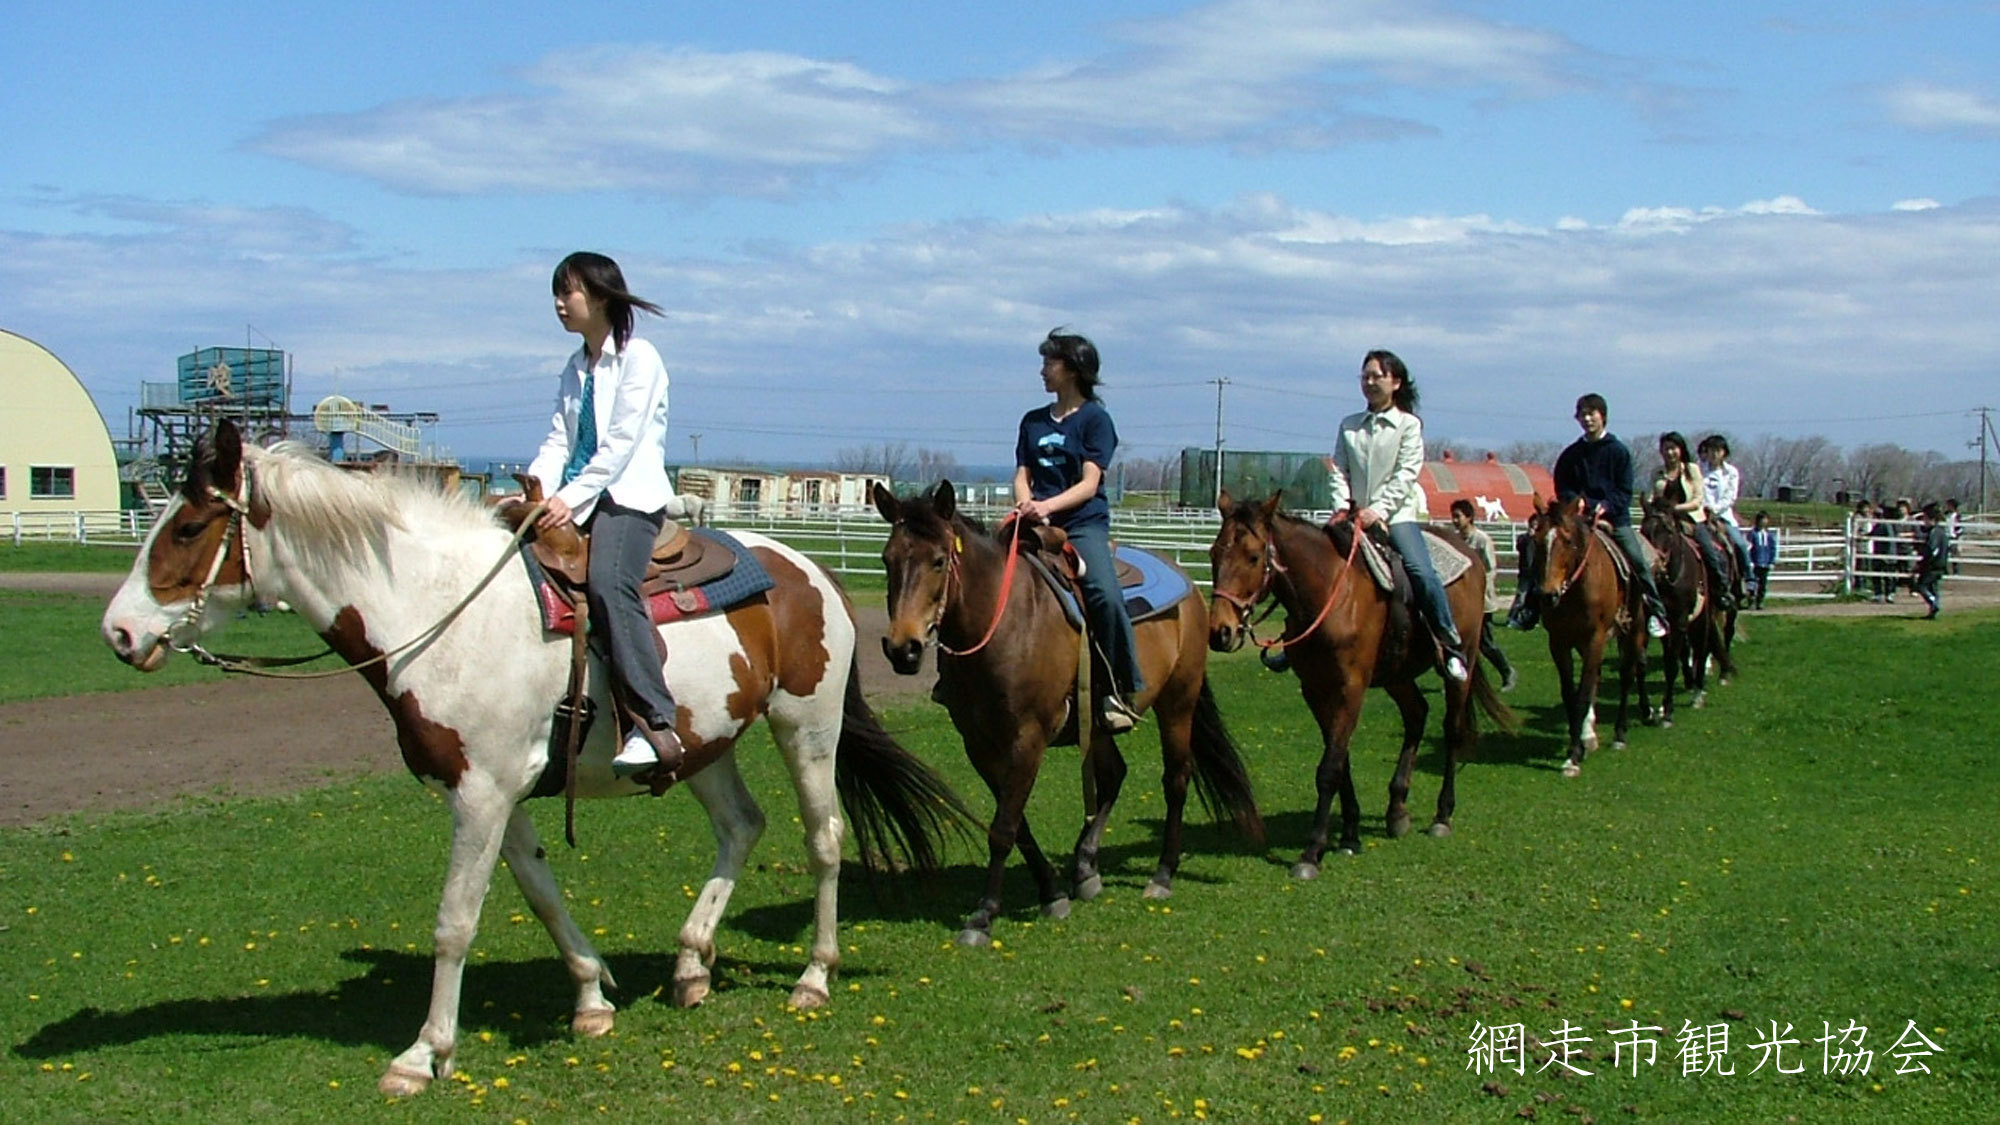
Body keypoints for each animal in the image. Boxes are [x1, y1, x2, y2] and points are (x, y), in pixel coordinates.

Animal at [101, 418, 976, 1088]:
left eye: (187, 527)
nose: (118, 632)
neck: (439, 611)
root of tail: (811, 572)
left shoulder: (482, 791)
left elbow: (455, 920)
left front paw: (423, 1052)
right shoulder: (498, 789)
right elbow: (542, 895)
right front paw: (591, 998)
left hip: (807, 726)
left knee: (823, 838)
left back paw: (814, 975)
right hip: (702, 741)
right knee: (741, 825)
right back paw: (691, 963)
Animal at [868, 482, 1256, 944]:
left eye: (939, 561)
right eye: (887, 560)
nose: (902, 649)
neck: (1003, 622)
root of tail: (1188, 585)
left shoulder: (1028, 738)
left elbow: (1003, 828)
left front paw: (982, 915)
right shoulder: (978, 744)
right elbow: (1016, 824)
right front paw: (1052, 892)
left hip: (1178, 703)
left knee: (1176, 780)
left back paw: (1162, 875)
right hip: (1099, 724)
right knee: (1113, 776)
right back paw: (1085, 868)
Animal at [1192, 486, 1504, 872]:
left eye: (1252, 557)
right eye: (1214, 553)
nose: (1220, 631)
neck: (1330, 595)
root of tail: (1468, 553)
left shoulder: (1350, 689)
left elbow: (1329, 768)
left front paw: (1312, 851)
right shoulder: (1315, 690)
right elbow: (1341, 762)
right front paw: (1350, 836)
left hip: (1462, 664)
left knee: (1453, 728)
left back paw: (1442, 816)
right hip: (1396, 675)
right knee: (1417, 714)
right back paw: (1396, 811)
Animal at [1520, 496, 1648, 768]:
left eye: (1567, 541)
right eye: (1537, 540)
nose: (1548, 595)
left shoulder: (1595, 638)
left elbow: (1582, 694)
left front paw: (1574, 756)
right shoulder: (1559, 642)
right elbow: (1571, 693)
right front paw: (1576, 743)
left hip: (1632, 632)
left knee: (1626, 676)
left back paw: (1619, 734)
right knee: (1596, 680)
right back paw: (1589, 735)